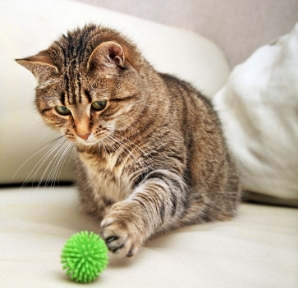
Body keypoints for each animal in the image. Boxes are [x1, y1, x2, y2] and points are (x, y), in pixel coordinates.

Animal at [15, 24, 240, 258]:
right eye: (62, 109)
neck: (104, 151)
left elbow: (149, 199)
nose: (83, 134)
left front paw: (123, 226)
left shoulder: (165, 171)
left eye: (99, 104)